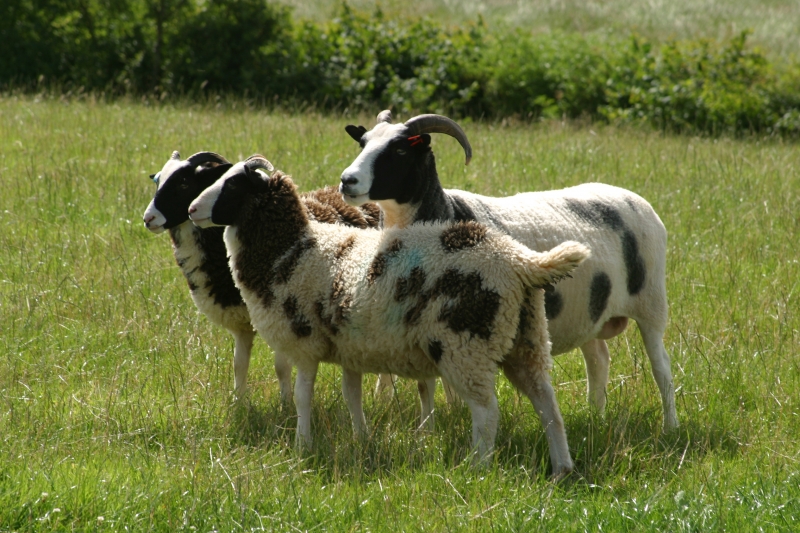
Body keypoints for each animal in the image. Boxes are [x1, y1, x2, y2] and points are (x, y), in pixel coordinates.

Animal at [141, 150, 383, 404]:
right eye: (158, 181)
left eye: (184, 183)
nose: (148, 219)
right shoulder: (243, 323)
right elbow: (239, 364)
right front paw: (239, 403)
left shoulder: (281, 317)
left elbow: (281, 367)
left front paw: (286, 404)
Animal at [188, 155, 591, 476]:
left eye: (233, 185)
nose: (191, 210)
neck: (291, 248)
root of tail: (520, 261)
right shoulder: (349, 347)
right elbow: (352, 396)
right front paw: (361, 438)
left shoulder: (305, 343)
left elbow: (303, 397)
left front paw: (303, 446)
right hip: (526, 338)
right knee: (548, 406)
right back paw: (562, 468)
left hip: (466, 343)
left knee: (487, 411)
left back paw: (478, 467)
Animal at [340, 111, 679, 431]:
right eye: (363, 143)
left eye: (399, 149)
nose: (347, 180)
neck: (444, 212)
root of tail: (635, 198)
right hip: (589, 308)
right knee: (598, 360)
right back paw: (596, 416)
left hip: (651, 302)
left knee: (661, 367)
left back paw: (670, 426)